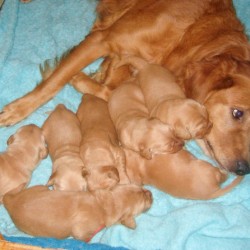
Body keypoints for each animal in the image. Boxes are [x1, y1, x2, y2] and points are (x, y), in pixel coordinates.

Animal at [2, 185, 152, 241]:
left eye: (141, 188)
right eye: (145, 200)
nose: (150, 193)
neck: (105, 205)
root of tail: (11, 203)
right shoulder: (80, 231)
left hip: (37, 188)